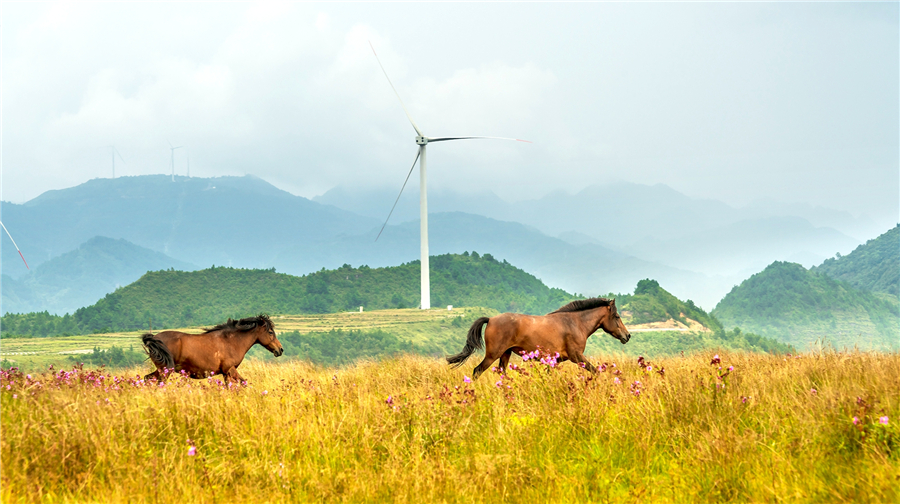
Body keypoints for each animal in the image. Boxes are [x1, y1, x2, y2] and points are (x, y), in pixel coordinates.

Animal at [141, 316, 284, 382]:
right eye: (270, 332)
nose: (280, 349)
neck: (231, 341)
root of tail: (154, 338)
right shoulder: (230, 370)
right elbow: (244, 383)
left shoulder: (226, 373)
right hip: (165, 370)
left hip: (161, 370)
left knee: (147, 379)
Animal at [446, 300, 628, 378]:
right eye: (617, 316)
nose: (627, 335)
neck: (575, 323)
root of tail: (490, 319)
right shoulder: (576, 356)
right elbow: (595, 371)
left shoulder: (554, 361)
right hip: (493, 355)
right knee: (477, 371)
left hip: (505, 354)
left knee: (502, 373)